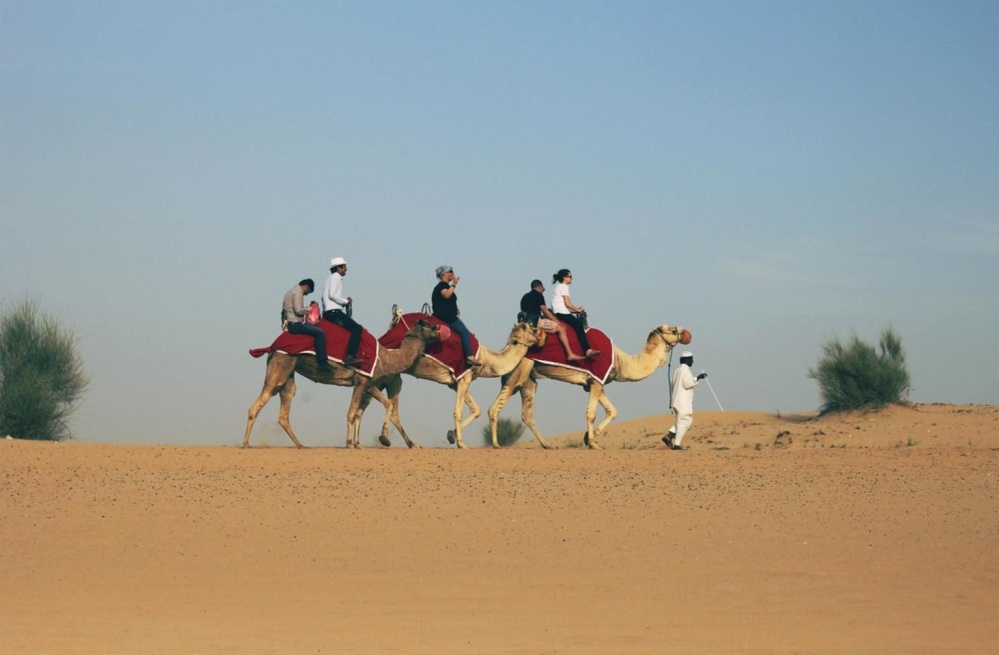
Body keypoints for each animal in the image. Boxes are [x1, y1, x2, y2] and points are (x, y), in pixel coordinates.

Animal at [240, 320, 440, 452]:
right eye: (431, 325)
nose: (440, 330)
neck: (387, 358)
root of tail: (271, 347)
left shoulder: (369, 383)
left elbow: (383, 405)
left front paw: (376, 440)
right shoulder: (362, 381)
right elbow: (352, 413)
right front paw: (351, 443)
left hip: (289, 372)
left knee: (284, 409)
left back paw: (300, 445)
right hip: (281, 365)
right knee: (258, 402)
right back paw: (246, 444)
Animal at [368, 310, 540, 448]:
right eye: (530, 328)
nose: (539, 334)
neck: (485, 359)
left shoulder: (457, 381)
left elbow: (476, 409)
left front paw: (451, 435)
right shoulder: (464, 377)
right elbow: (458, 411)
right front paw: (462, 444)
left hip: (394, 377)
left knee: (391, 408)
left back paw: (411, 444)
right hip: (388, 373)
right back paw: (384, 440)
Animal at [486, 324, 692, 448]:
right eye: (673, 330)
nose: (688, 334)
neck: (620, 360)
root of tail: (507, 345)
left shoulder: (595, 382)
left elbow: (612, 411)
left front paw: (588, 438)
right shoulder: (596, 379)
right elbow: (591, 413)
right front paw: (593, 443)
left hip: (529, 379)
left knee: (526, 414)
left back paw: (547, 445)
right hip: (521, 368)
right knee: (496, 407)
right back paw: (496, 444)